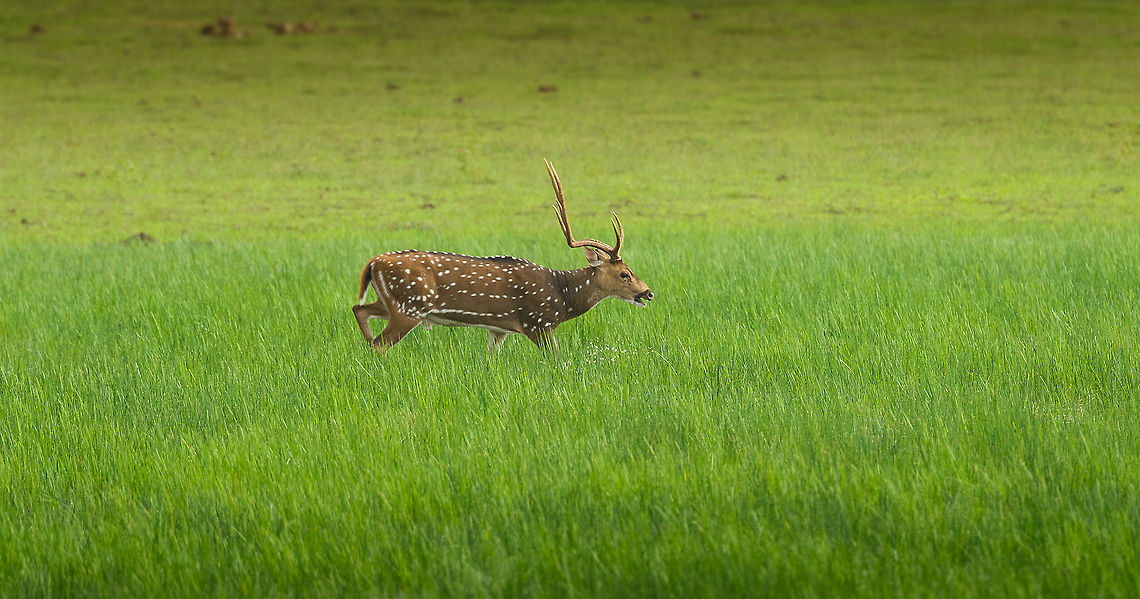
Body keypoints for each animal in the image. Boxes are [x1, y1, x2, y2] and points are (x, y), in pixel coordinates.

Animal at [352, 159, 654, 353]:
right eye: (624, 273)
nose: (649, 292)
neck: (562, 296)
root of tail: (373, 262)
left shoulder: (498, 330)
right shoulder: (538, 322)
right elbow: (557, 361)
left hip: (392, 301)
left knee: (359, 310)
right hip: (410, 305)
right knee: (379, 343)